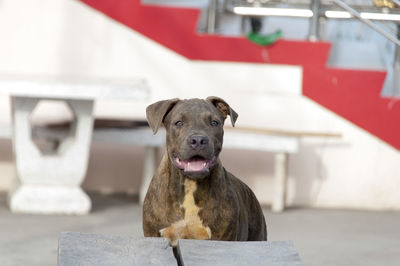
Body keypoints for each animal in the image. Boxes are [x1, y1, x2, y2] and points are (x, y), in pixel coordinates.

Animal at [142, 96, 268, 246]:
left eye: (214, 122)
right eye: (178, 123)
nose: (198, 140)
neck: (190, 185)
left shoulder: (222, 238)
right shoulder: (153, 234)